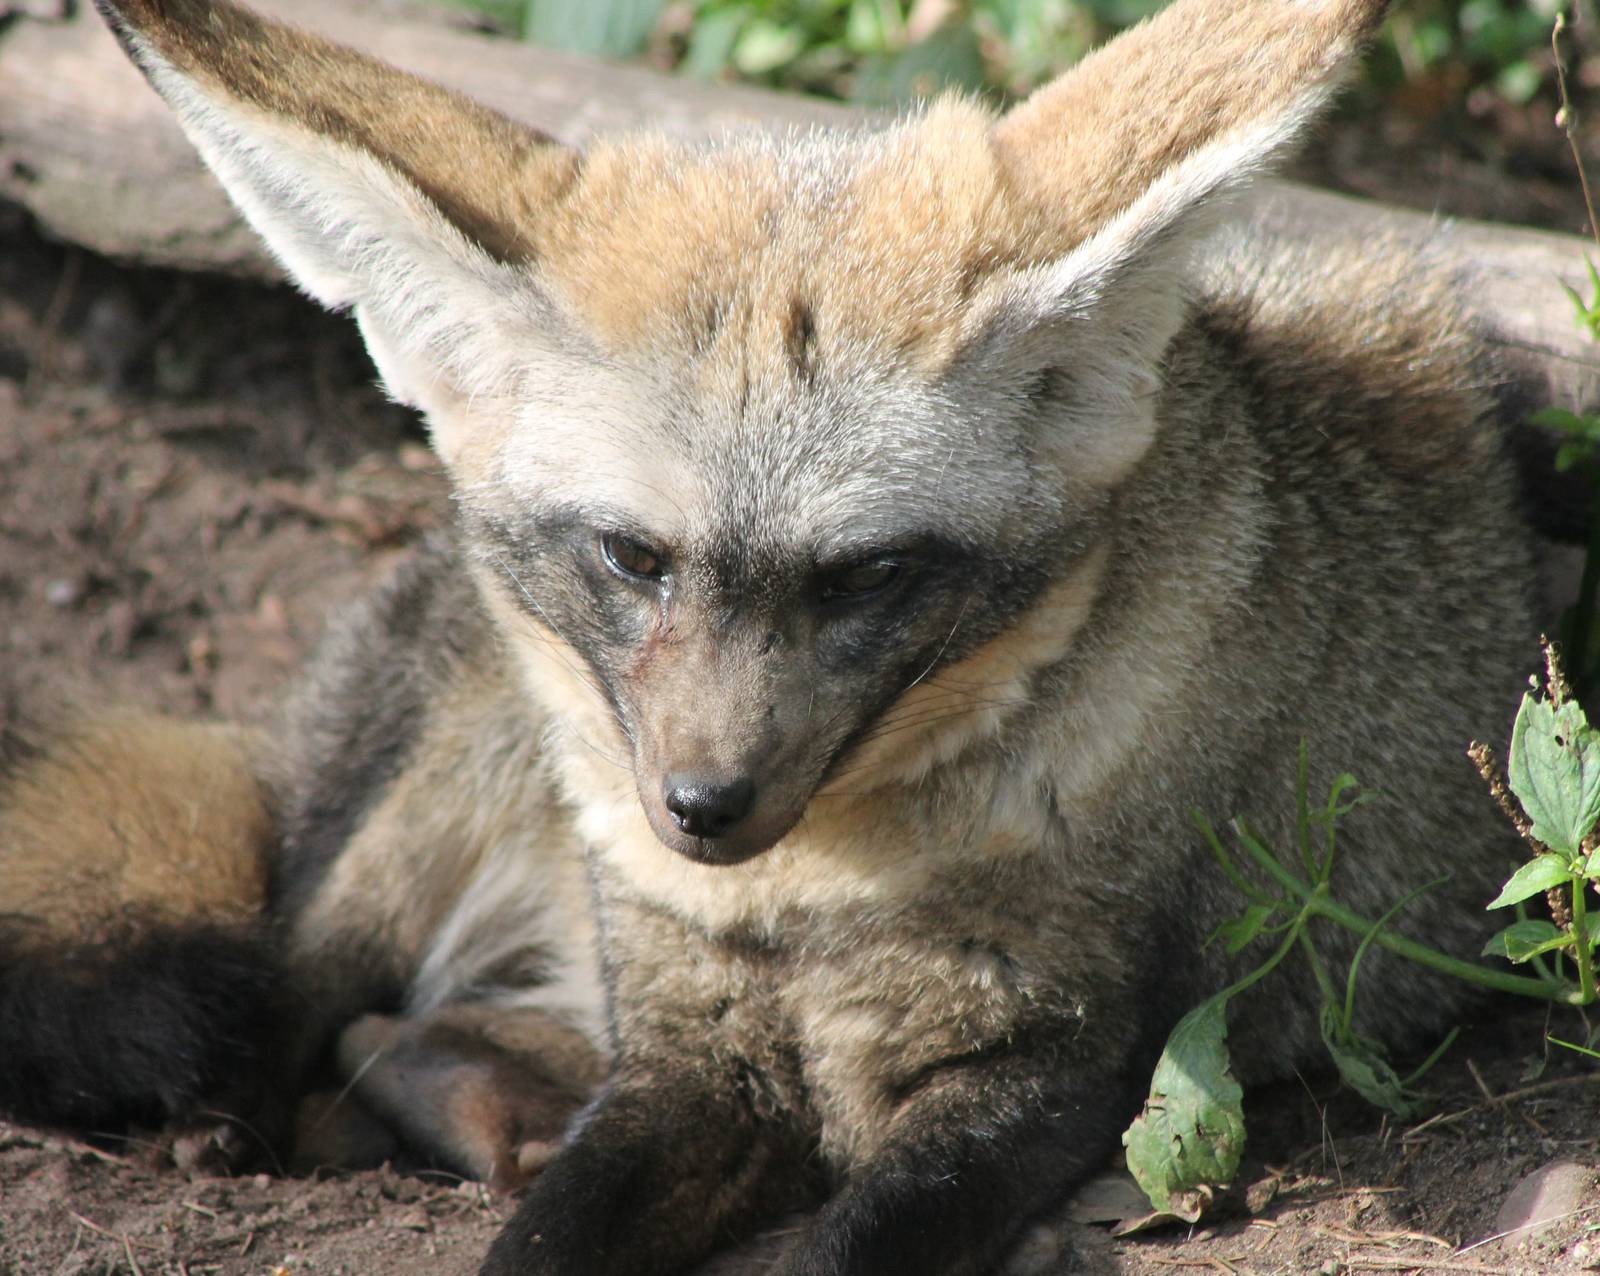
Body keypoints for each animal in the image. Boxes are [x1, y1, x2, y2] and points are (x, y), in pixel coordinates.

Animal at [0, 0, 1542, 1270]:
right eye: (635, 557)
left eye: (865, 577)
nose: (701, 806)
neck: (805, 909)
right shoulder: (689, 1050)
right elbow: (545, 1242)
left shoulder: (1049, 1070)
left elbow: (851, 1243)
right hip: (444, 788)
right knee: (294, 969)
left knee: (395, 1027)